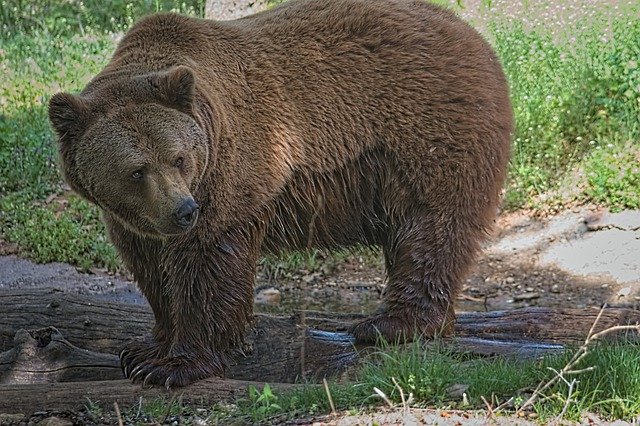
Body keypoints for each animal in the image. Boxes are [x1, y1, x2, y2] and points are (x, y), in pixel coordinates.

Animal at [48, 0, 510, 388]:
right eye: (137, 170)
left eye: (179, 158)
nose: (183, 211)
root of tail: (472, 33)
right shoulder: (136, 219)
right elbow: (150, 268)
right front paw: (146, 348)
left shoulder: (229, 171)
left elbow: (207, 265)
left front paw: (173, 365)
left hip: (426, 132)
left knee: (432, 226)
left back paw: (392, 324)